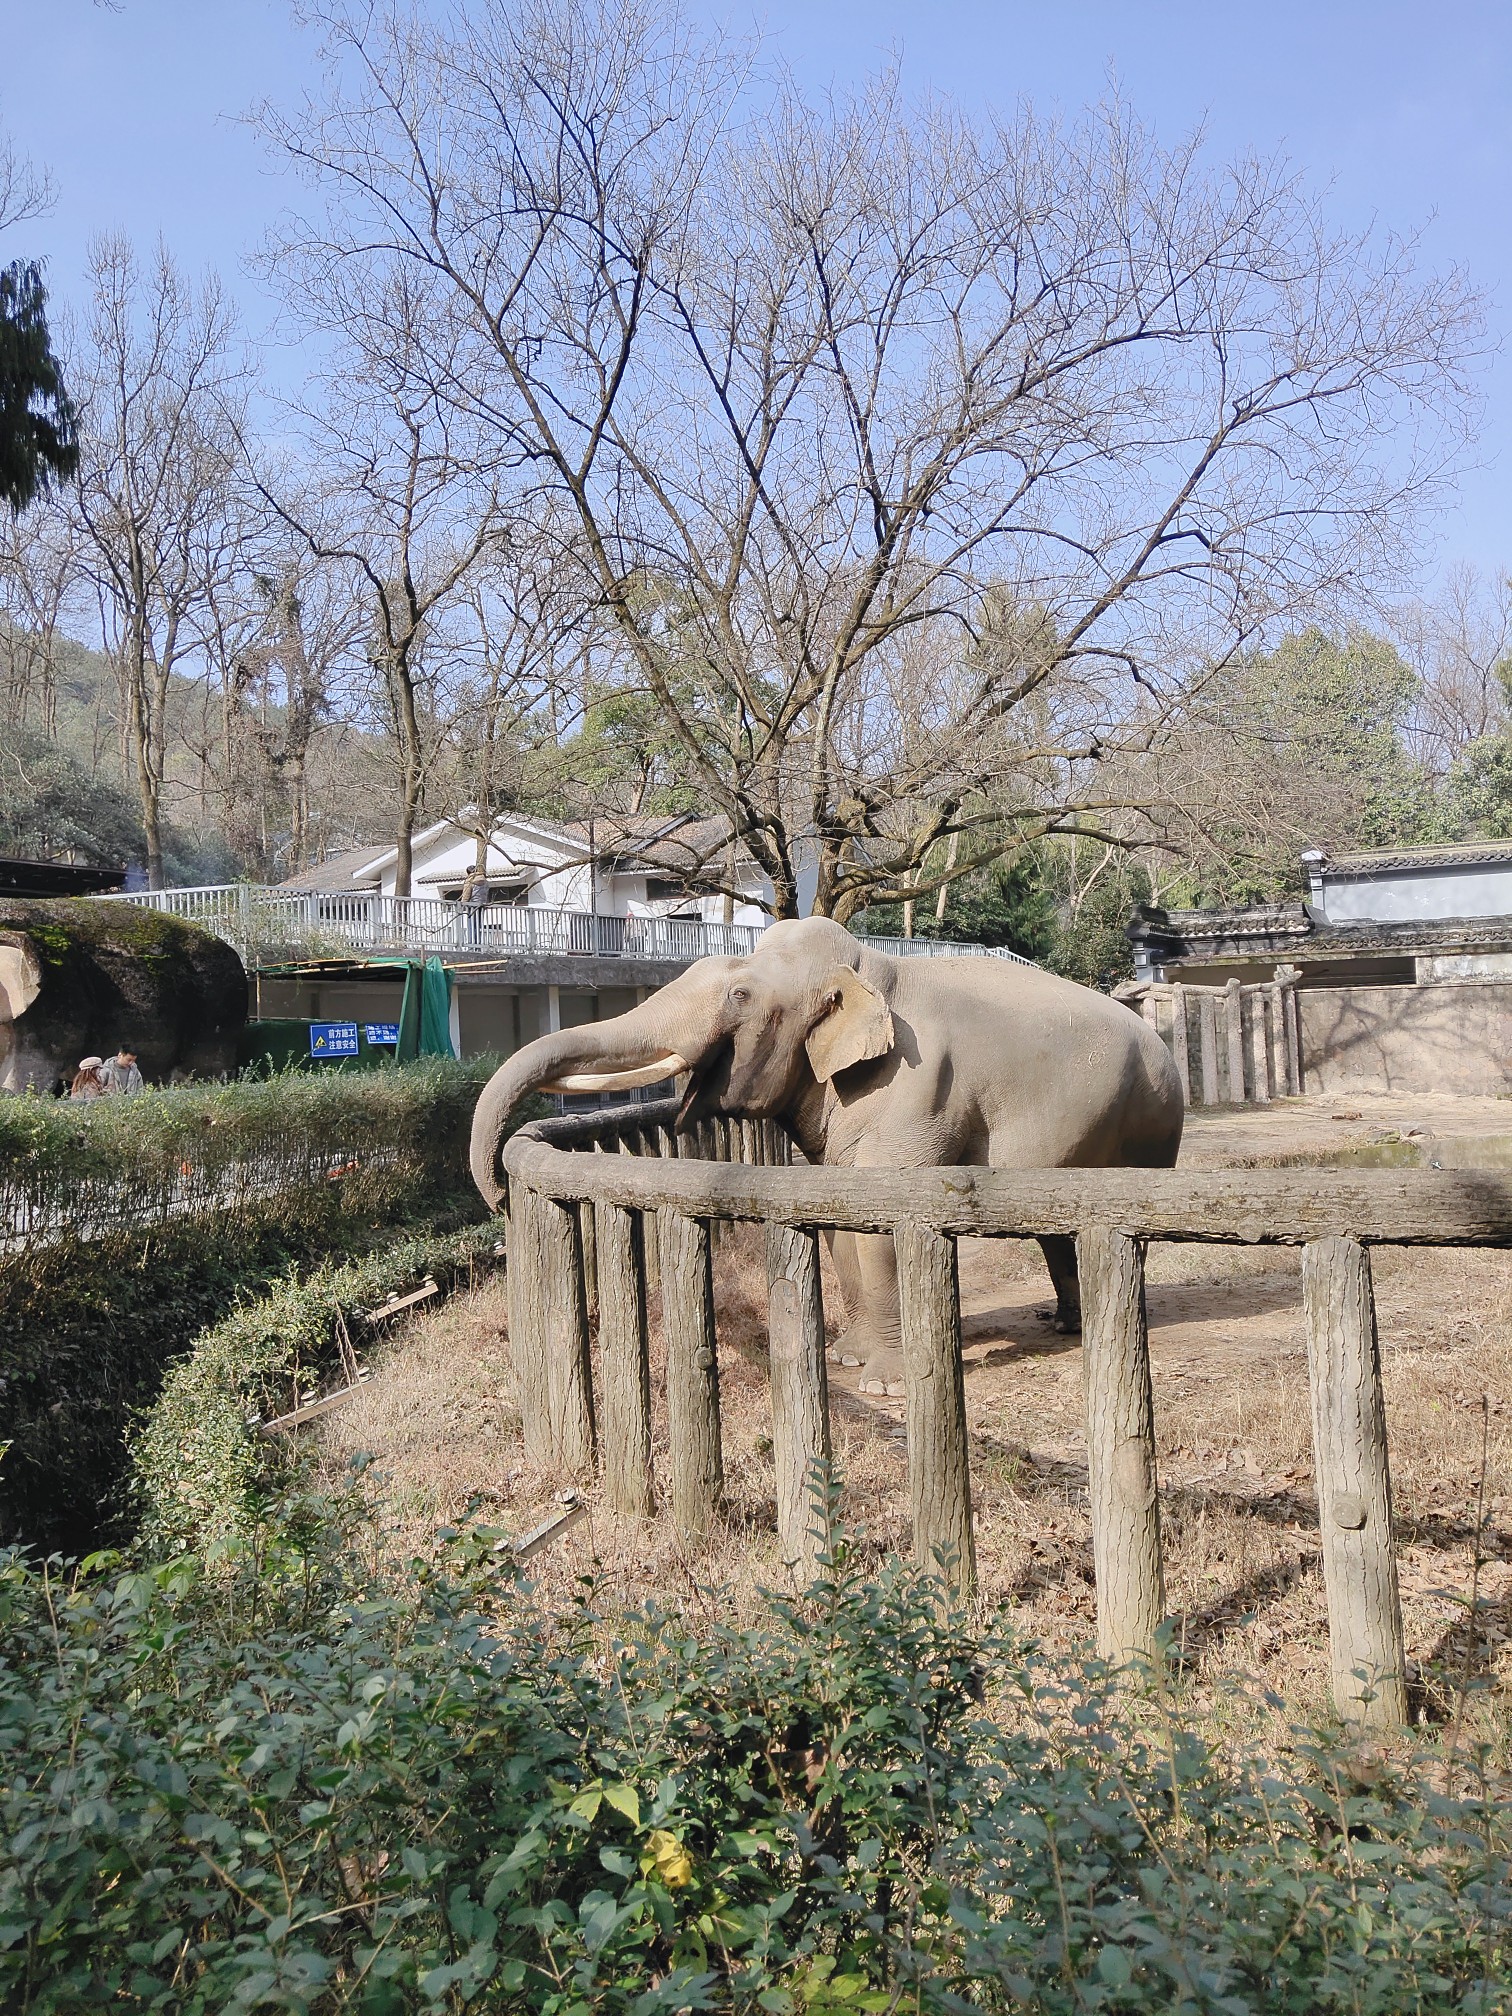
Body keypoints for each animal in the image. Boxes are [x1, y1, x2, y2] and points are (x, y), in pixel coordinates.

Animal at [471, 923, 1185, 1395]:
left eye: (739, 997)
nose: (501, 1198)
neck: (868, 971)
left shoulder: (921, 1086)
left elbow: (885, 1228)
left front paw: (885, 1386)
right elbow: (844, 1224)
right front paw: (847, 1359)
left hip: (1150, 1130)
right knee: (1058, 1230)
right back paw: (1065, 1324)